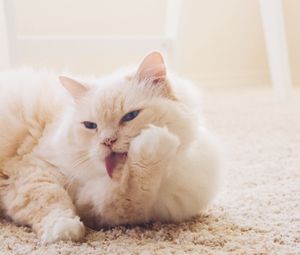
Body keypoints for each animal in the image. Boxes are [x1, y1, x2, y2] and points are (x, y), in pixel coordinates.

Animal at [0, 51, 220, 243]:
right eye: (90, 125)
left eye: (130, 116)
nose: (107, 141)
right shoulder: (33, 169)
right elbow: (49, 199)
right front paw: (62, 230)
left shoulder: (105, 209)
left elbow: (130, 196)